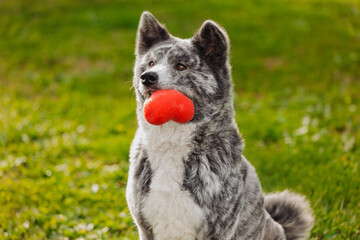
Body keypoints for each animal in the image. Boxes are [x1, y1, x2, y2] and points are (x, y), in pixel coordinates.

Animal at [126, 11, 312, 240]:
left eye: (181, 66)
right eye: (151, 63)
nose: (147, 77)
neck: (171, 141)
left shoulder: (219, 229)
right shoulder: (145, 228)